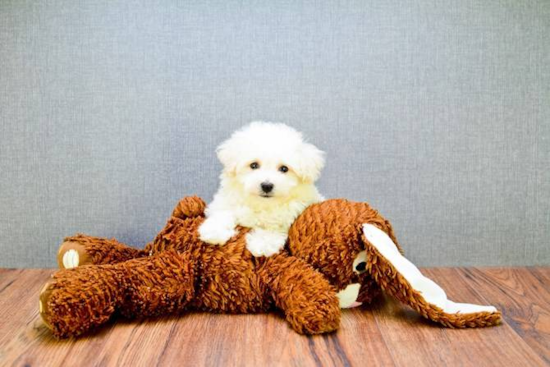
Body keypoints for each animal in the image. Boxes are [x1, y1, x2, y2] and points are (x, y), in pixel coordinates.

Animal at [199, 122, 326, 258]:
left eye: (284, 169)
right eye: (254, 165)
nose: (266, 185)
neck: (261, 205)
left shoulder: (287, 216)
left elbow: (273, 228)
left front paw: (263, 244)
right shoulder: (225, 200)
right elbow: (223, 212)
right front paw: (214, 231)